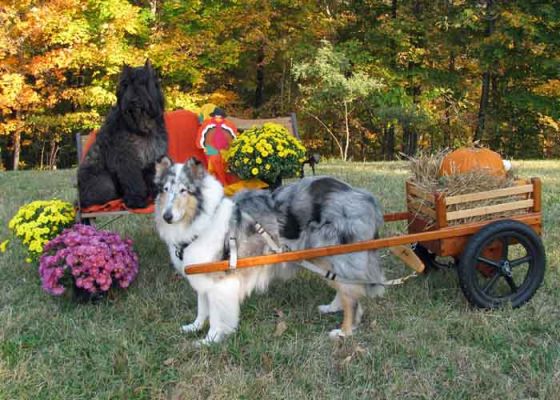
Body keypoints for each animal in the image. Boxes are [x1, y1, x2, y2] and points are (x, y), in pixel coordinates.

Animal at [77, 61, 167, 209]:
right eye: (125, 84)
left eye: (143, 83)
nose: (133, 101)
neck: (141, 127)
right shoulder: (126, 159)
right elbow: (133, 181)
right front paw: (136, 200)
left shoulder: (153, 154)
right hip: (104, 184)